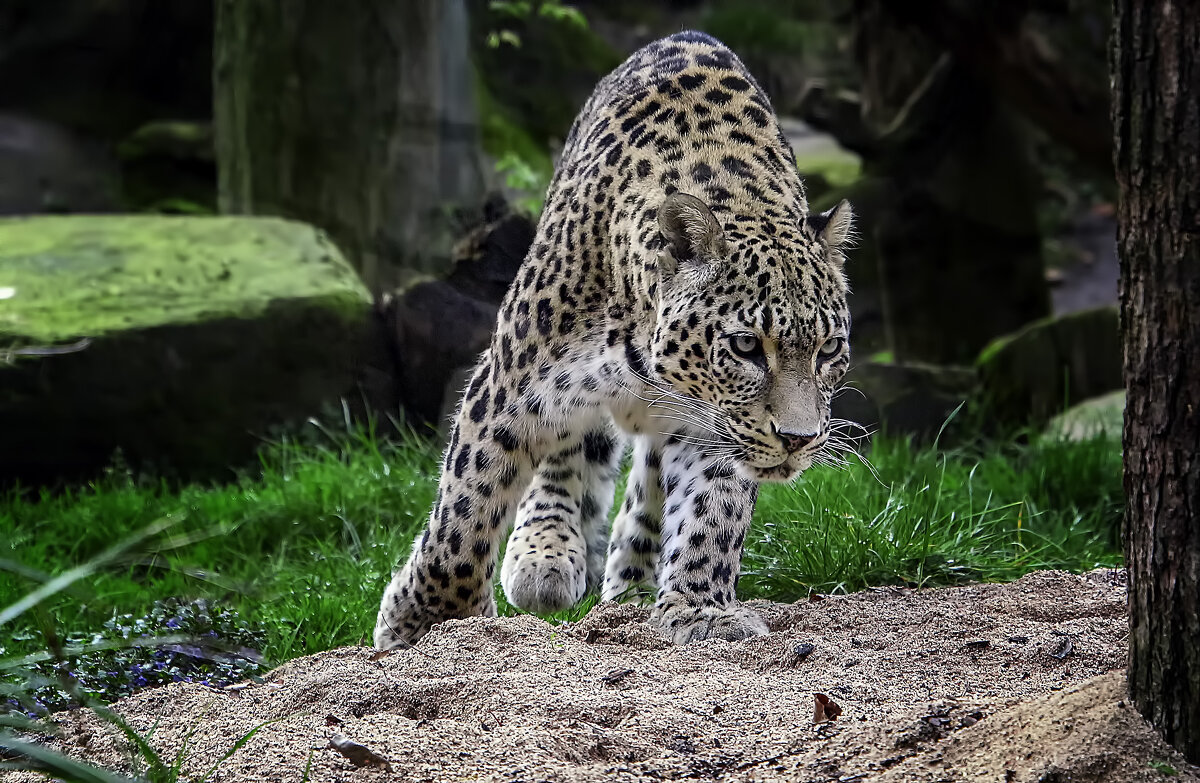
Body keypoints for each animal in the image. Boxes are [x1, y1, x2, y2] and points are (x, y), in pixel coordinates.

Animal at [374, 30, 854, 648]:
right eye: (747, 346)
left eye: (828, 350)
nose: (798, 439)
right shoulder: (508, 379)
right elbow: (468, 505)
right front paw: (428, 620)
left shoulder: (718, 431)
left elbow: (711, 516)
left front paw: (700, 609)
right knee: (562, 457)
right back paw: (543, 557)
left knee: (643, 497)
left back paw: (629, 586)